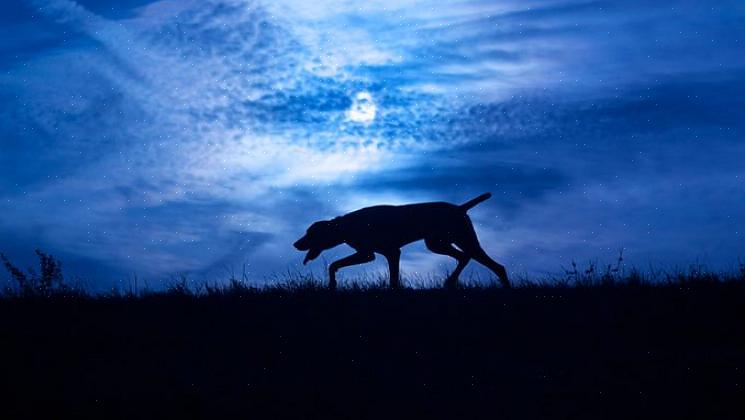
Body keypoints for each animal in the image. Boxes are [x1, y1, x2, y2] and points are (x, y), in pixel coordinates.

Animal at [294, 194, 508, 288]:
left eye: (310, 233)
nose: (296, 244)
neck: (346, 225)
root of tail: (460, 207)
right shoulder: (380, 254)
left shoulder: (374, 254)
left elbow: (333, 265)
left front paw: (332, 284)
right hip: (438, 243)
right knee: (469, 259)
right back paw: (451, 282)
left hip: (459, 241)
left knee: (492, 265)